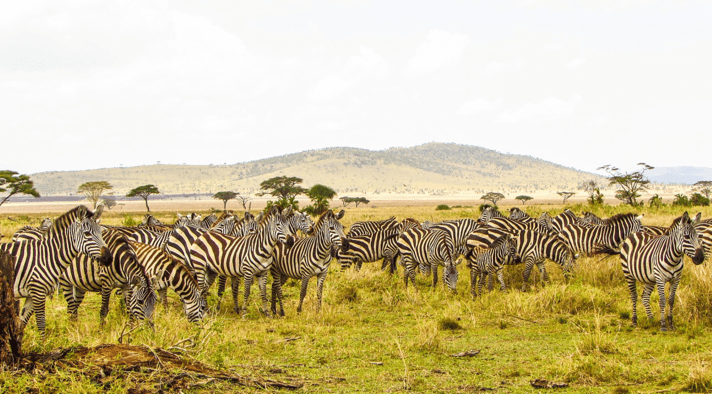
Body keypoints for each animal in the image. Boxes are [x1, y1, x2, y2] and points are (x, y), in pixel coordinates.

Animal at [0, 205, 111, 338]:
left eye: (101, 232)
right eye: (87, 234)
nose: (109, 257)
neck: (46, 256)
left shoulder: (31, 294)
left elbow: (22, 322)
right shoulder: (38, 292)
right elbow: (41, 322)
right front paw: (42, 344)